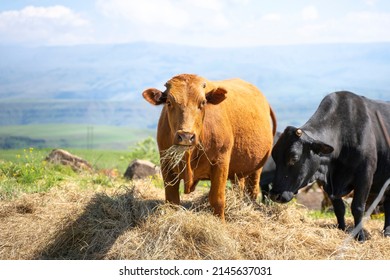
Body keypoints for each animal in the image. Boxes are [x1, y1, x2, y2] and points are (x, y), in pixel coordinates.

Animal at [142, 74, 276, 221]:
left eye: (202, 103)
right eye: (169, 102)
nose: (186, 136)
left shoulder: (221, 164)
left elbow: (217, 199)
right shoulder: (166, 163)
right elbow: (172, 200)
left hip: (257, 168)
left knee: (252, 191)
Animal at [270, 91, 388, 241]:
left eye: (294, 157)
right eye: (274, 157)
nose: (275, 195)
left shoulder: (365, 176)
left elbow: (358, 207)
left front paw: (360, 236)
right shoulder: (327, 183)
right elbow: (339, 208)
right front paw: (341, 229)